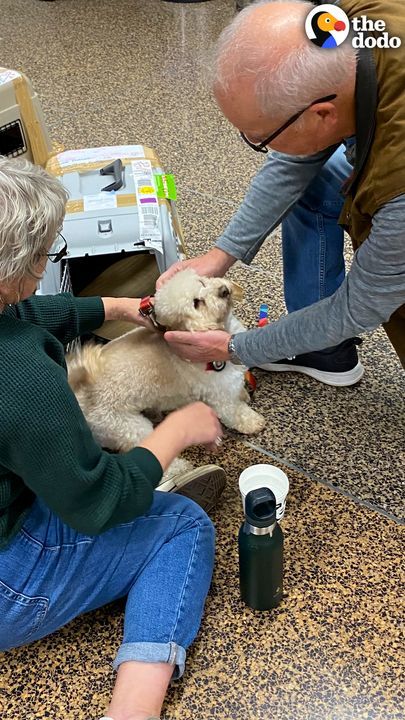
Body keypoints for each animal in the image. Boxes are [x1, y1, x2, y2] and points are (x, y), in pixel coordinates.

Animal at [67, 268, 266, 464]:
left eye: (202, 282)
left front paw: (243, 393)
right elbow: (236, 413)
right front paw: (253, 422)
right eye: (196, 303)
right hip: (125, 427)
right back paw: (182, 468)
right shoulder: (219, 396)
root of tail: (79, 393)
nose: (223, 290)